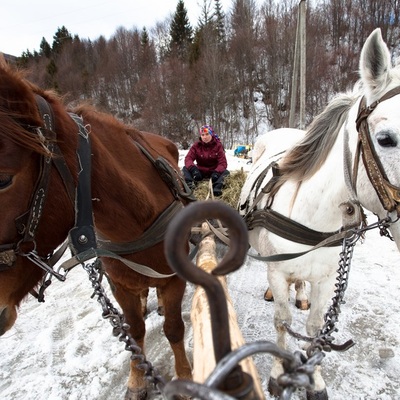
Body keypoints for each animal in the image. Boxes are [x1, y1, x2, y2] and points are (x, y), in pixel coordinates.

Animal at [0, 57, 194, 398]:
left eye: (3, 180)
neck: (134, 225)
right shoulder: (119, 284)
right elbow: (134, 331)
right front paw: (136, 380)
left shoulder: (173, 279)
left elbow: (173, 329)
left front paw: (183, 378)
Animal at [239, 28, 400, 400]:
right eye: (386, 139)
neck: (312, 219)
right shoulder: (277, 272)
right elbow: (282, 322)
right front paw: (279, 373)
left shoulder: (326, 280)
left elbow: (314, 327)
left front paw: (314, 379)